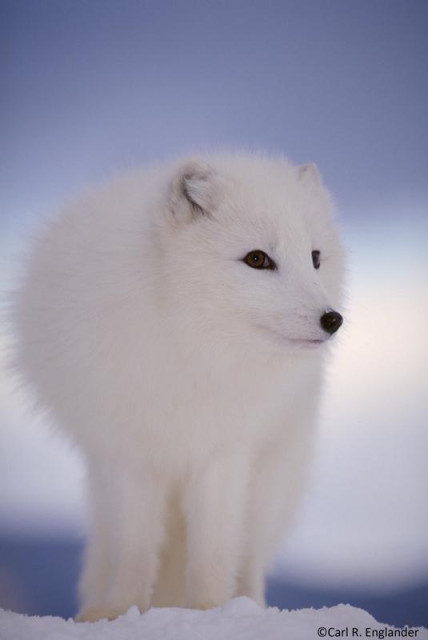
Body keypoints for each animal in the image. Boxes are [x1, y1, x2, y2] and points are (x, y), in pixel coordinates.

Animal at [13, 151, 344, 620]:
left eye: (315, 257)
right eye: (257, 259)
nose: (332, 319)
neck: (190, 345)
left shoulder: (223, 452)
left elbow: (214, 548)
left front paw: (209, 611)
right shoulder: (129, 454)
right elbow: (134, 547)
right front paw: (119, 611)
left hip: (272, 482)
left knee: (250, 556)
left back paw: (252, 607)